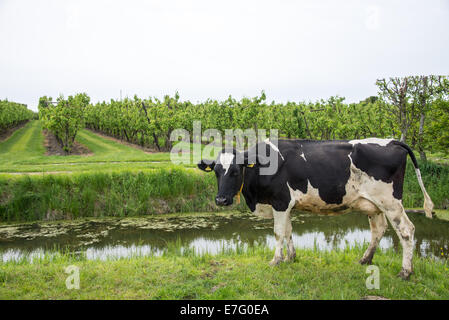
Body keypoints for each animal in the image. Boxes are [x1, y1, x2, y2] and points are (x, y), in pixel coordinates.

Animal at [197, 138, 434, 280]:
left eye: (236, 171)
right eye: (216, 172)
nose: (221, 199)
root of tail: (392, 141)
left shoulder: (281, 202)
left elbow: (278, 233)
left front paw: (276, 260)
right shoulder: (288, 205)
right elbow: (289, 231)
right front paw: (291, 258)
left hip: (390, 201)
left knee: (406, 230)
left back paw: (405, 272)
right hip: (373, 205)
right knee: (378, 229)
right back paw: (365, 260)